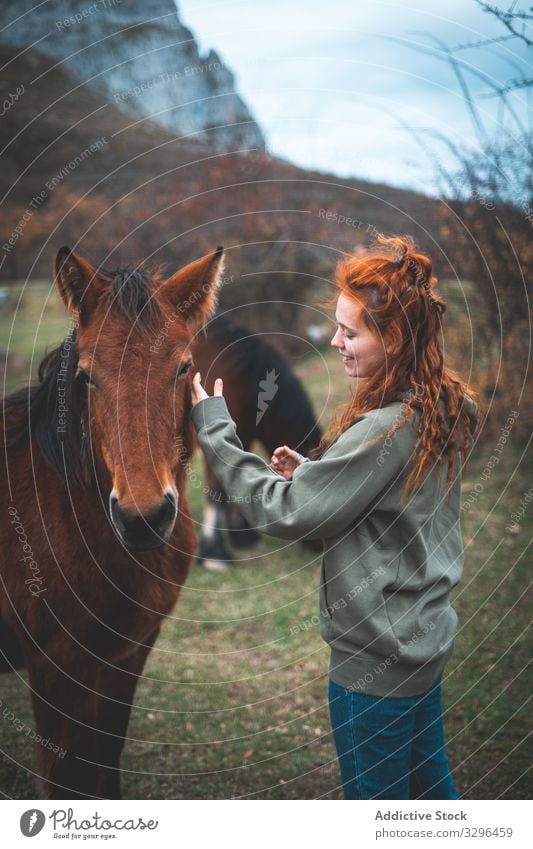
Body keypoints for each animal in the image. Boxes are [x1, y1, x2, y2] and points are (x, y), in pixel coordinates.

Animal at [0, 243, 224, 796]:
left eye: (183, 367)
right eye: (86, 375)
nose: (143, 518)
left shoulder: (126, 656)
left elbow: (103, 762)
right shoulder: (57, 669)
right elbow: (68, 775)